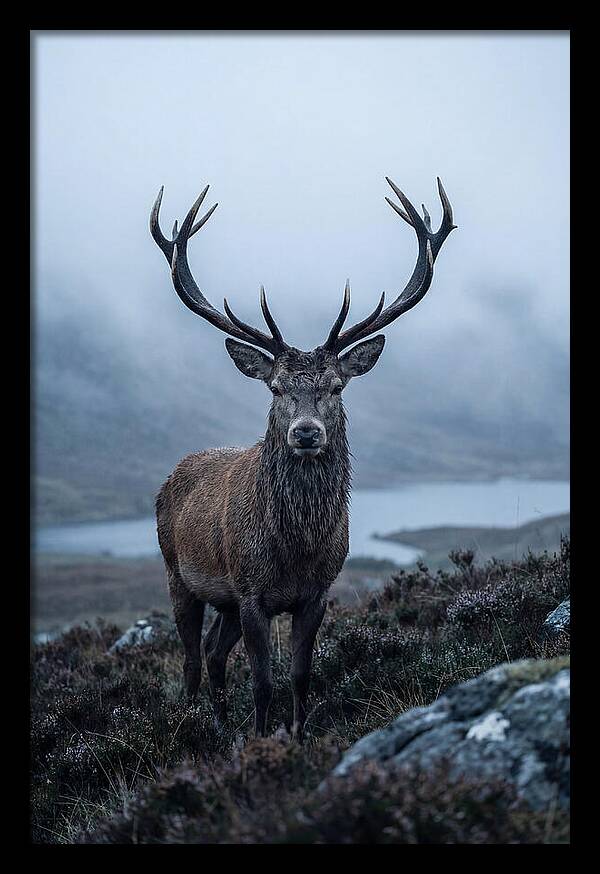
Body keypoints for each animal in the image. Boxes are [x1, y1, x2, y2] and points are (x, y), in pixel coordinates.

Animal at [150, 177, 456, 740]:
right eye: (275, 387)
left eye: (335, 386)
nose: (307, 432)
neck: (295, 549)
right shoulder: (251, 592)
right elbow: (262, 682)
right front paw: (260, 738)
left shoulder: (315, 593)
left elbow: (299, 674)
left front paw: (296, 734)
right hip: (177, 573)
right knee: (190, 659)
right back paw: (194, 723)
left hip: (223, 599)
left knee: (213, 651)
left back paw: (221, 724)